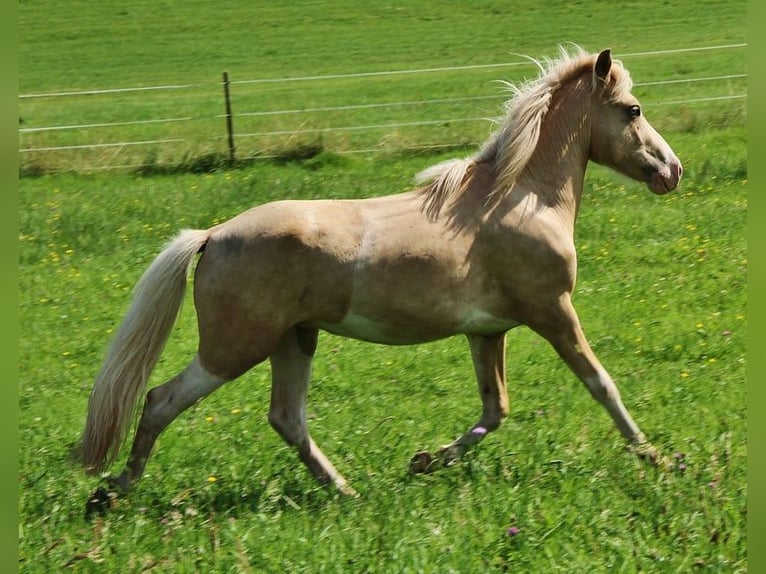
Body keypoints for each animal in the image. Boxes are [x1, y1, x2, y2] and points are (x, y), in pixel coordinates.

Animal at [81, 48, 688, 508]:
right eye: (633, 110)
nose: (672, 170)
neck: (523, 199)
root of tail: (211, 236)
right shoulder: (553, 311)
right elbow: (601, 384)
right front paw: (658, 458)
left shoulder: (487, 331)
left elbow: (495, 410)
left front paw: (423, 462)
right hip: (234, 347)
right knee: (161, 400)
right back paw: (112, 492)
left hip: (294, 339)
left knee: (287, 418)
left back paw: (345, 491)